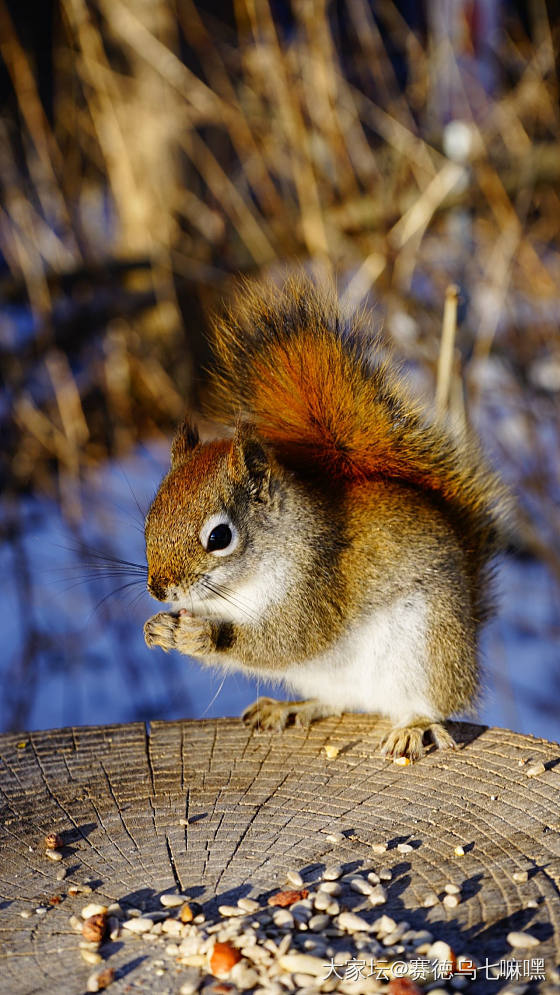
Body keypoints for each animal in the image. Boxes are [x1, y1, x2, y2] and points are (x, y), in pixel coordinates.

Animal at [143, 276, 504, 760]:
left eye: (219, 537)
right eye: (150, 518)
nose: (159, 590)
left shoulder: (320, 585)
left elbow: (290, 639)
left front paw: (204, 638)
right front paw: (157, 628)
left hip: (429, 647)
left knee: (429, 703)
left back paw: (414, 727)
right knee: (337, 701)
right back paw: (291, 707)